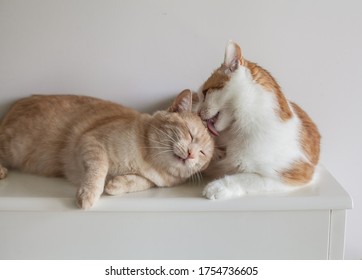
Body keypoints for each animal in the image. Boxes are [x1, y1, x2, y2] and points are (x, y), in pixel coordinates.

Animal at [0, 89, 214, 208]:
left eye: (202, 153)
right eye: (190, 134)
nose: (191, 154)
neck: (148, 161)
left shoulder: (155, 181)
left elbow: (140, 182)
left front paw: (116, 184)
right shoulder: (92, 142)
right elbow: (98, 172)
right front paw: (88, 195)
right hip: (13, 146)